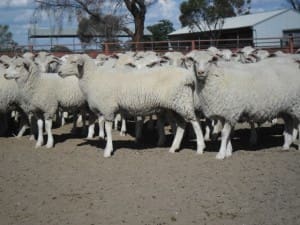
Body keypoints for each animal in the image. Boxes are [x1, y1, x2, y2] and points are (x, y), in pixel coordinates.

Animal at [57, 53, 205, 157]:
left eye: (73, 62)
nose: (58, 72)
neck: (92, 78)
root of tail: (189, 77)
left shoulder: (108, 108)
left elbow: (108, 129)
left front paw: (108, 150)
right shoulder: (106, 109)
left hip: (182, 102)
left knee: (195, 122)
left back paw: (200, 147)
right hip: (174, 105)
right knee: (182, 125)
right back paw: (174, 147)